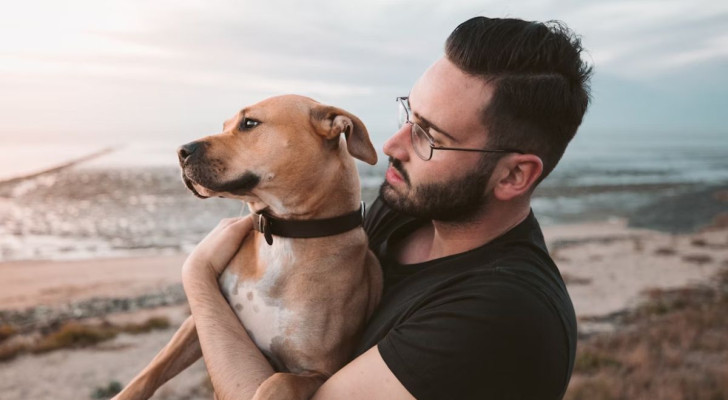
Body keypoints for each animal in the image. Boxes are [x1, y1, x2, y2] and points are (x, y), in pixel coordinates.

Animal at [114, 95, 382, 398]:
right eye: (225, 125)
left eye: (249, 123)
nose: (181, 151)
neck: (283, 238)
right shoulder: (202, 318)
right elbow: (153, 370)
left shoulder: (319, 373)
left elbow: (277, 382)